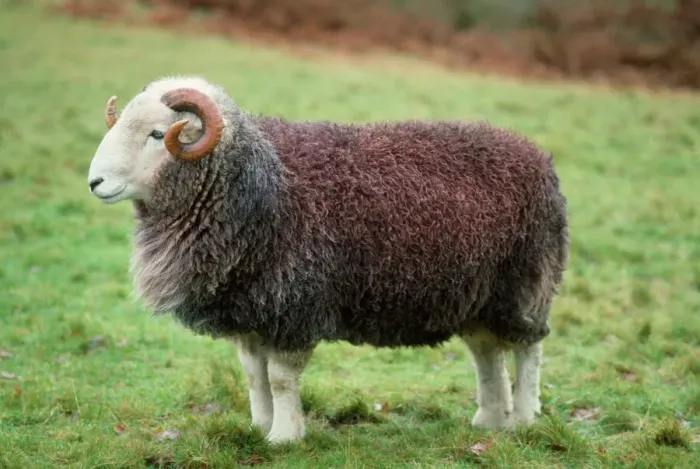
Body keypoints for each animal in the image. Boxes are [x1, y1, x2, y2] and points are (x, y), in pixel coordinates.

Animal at [87, 75, 569, 443]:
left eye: (156, 134)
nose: (95, 182)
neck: (259, 183)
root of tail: (539, 158)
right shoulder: (252, 309)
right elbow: (254, 375)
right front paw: (260, 427)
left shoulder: (294, 305)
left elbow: (280, 379)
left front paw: (284, 438)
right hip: (477, 295)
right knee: (487, 352)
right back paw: (490, 420)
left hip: (526, 281)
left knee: (528, 349)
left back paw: (524, 420)